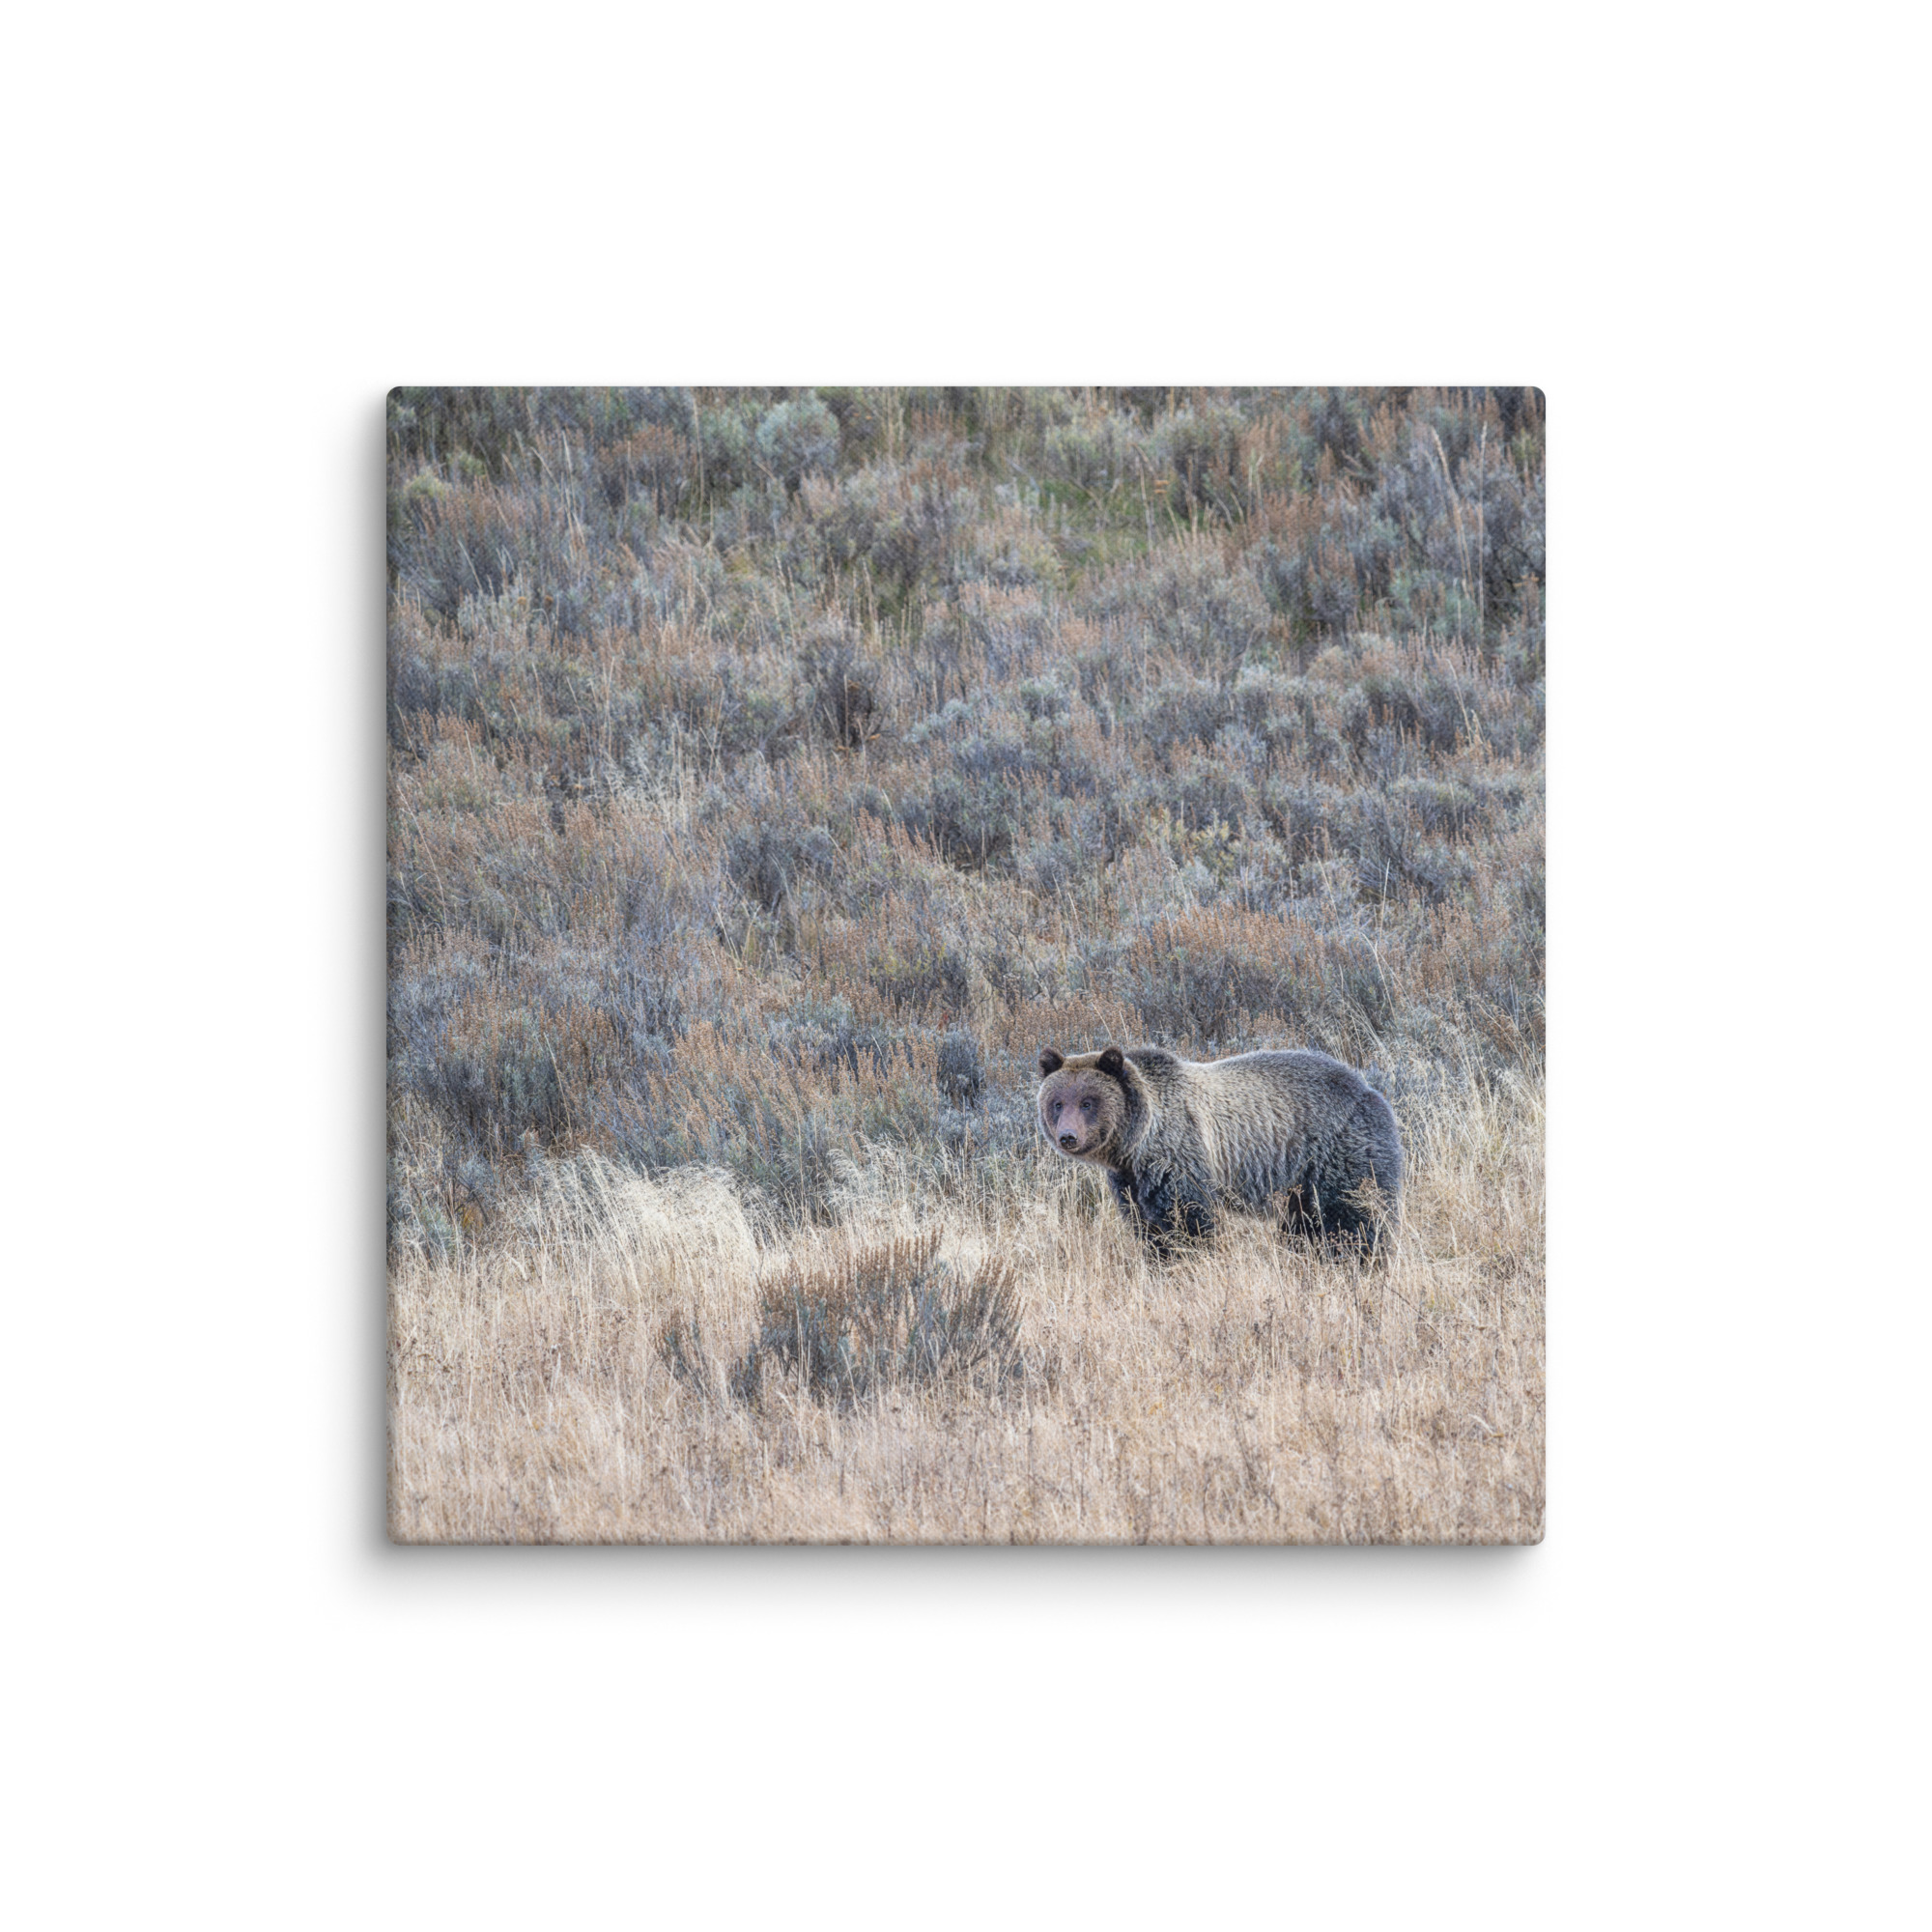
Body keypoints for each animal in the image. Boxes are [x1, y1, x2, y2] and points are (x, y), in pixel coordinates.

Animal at [1036, 1043, 1402, 1257]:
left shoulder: (1180, 1157)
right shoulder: (1130, 1181)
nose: (1068, 1137)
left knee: (1354, 1217)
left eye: (1088, 1102)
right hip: (1300, 1184)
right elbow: (1147, 1227)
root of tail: (1370, 1089)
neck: (1136, 1143)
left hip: (1339, 1152)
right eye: (1058, 1103)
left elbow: (1189, 1222)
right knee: (1304, 1226)